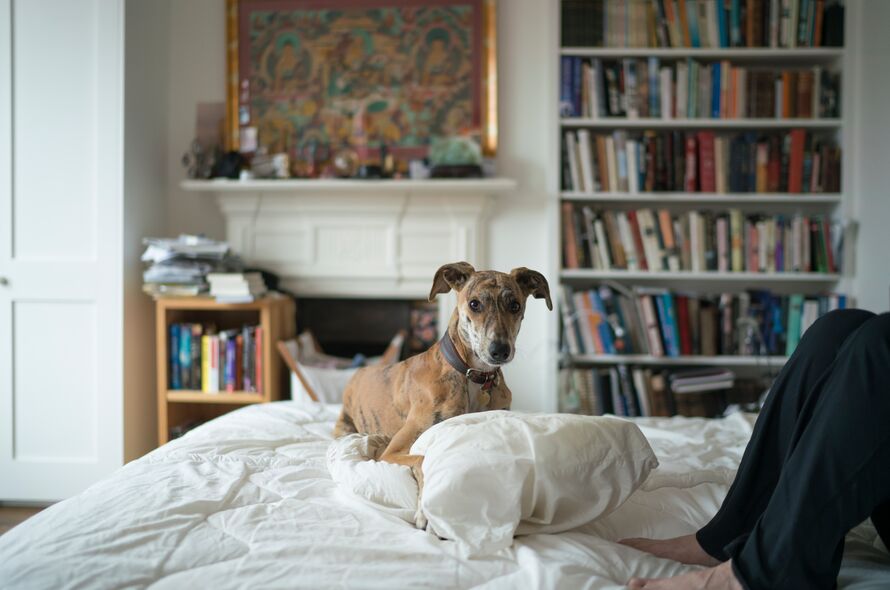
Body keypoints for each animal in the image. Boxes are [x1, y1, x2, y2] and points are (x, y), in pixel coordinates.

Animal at [332, 262, 548, 498]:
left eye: (515, 305)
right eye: (474, 304)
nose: (500, 351)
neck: (472, 374)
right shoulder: (391, 452)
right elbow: (421, 458)